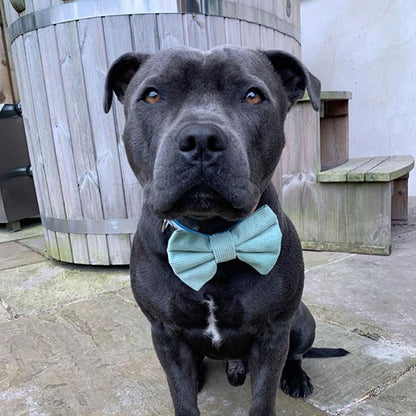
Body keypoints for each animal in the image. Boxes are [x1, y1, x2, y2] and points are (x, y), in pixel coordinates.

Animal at [105, 46, 348, 416]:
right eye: (152, 95)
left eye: (252, 96)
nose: (201, 138)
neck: (212, 236)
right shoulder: (165, 333)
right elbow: (182, 396)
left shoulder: (273, 332)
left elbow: (263, 397)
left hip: (303, 321)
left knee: (296, 354)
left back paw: (293, 377)